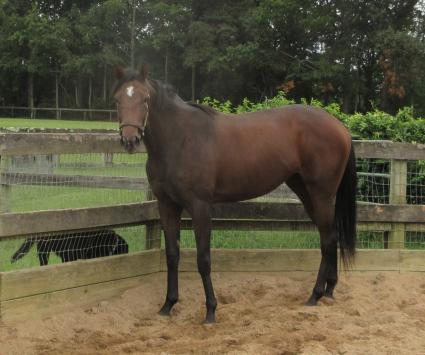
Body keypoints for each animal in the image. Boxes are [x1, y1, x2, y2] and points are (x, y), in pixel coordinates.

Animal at [112, 65, 354, 324]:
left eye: (145, 99)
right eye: (118, 99)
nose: (130, 139)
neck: (180, 139)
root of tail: (340, 126)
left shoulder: (199, 206)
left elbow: (203, 259)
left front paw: (210, 310)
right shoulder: (167, 206)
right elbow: (172, 255)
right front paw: (168, 305)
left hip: (321, 194)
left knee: (327, 240)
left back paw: (315, 295)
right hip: (306, 191)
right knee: (331, 236)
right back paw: (329, 290)